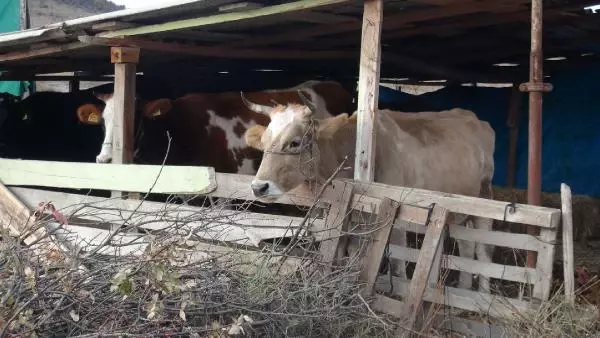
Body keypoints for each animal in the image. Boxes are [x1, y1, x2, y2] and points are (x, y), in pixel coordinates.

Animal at [243, 92, 496, 294]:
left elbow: (396, 264)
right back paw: (463, 289)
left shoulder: (397, 218)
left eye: (295, 143)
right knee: (466, 246)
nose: (258, 187)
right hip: (460, 210)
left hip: (484, 198)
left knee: (484, 251)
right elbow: (345, 257)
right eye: (263, 142)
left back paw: (481, 297)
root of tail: (472, 117)